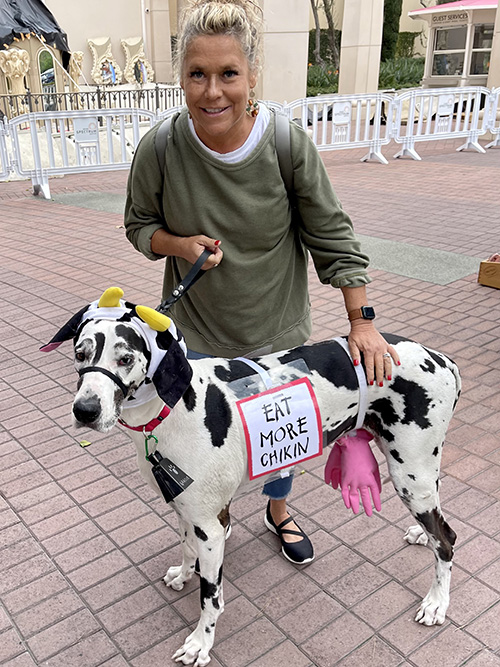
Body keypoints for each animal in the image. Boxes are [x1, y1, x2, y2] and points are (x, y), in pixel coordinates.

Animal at [43, 288, 460, 667]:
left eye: (126, 358)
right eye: (79, 353)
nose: (85, 411)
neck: (173, 407)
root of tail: (442, 359)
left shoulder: (211, 528)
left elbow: (210, 597)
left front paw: (201, 643)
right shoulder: (186, 510)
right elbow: (186, 548)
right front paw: (184, 572)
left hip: (409, 474)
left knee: (447, 542)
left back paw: (436, 602)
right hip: (422, 476)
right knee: (441, 521)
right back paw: (421, 534)